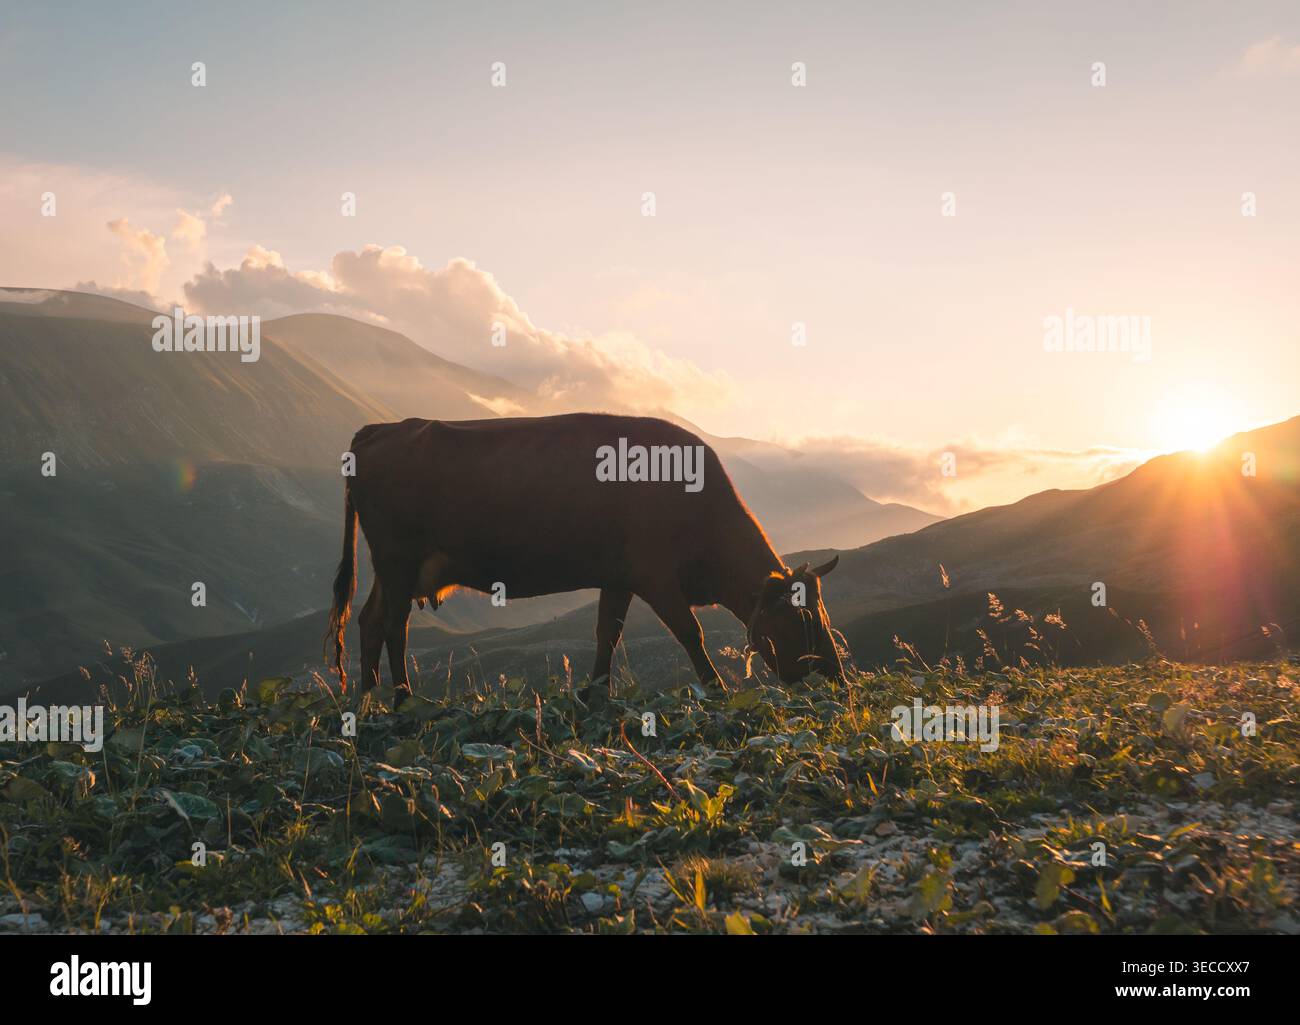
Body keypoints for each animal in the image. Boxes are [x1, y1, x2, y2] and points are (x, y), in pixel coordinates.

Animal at [326, 413, 846, 704]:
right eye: (802, 618)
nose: (837, 674)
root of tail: (379, 430)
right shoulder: (656, 575)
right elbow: (690, 633)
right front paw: (717, 689)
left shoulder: (618, 577)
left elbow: (606, 634)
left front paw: (594, 691)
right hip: (397, 560)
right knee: (393, 626)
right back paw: (401, 699)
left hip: (396, 568)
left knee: (371, 621)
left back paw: (371, 698)